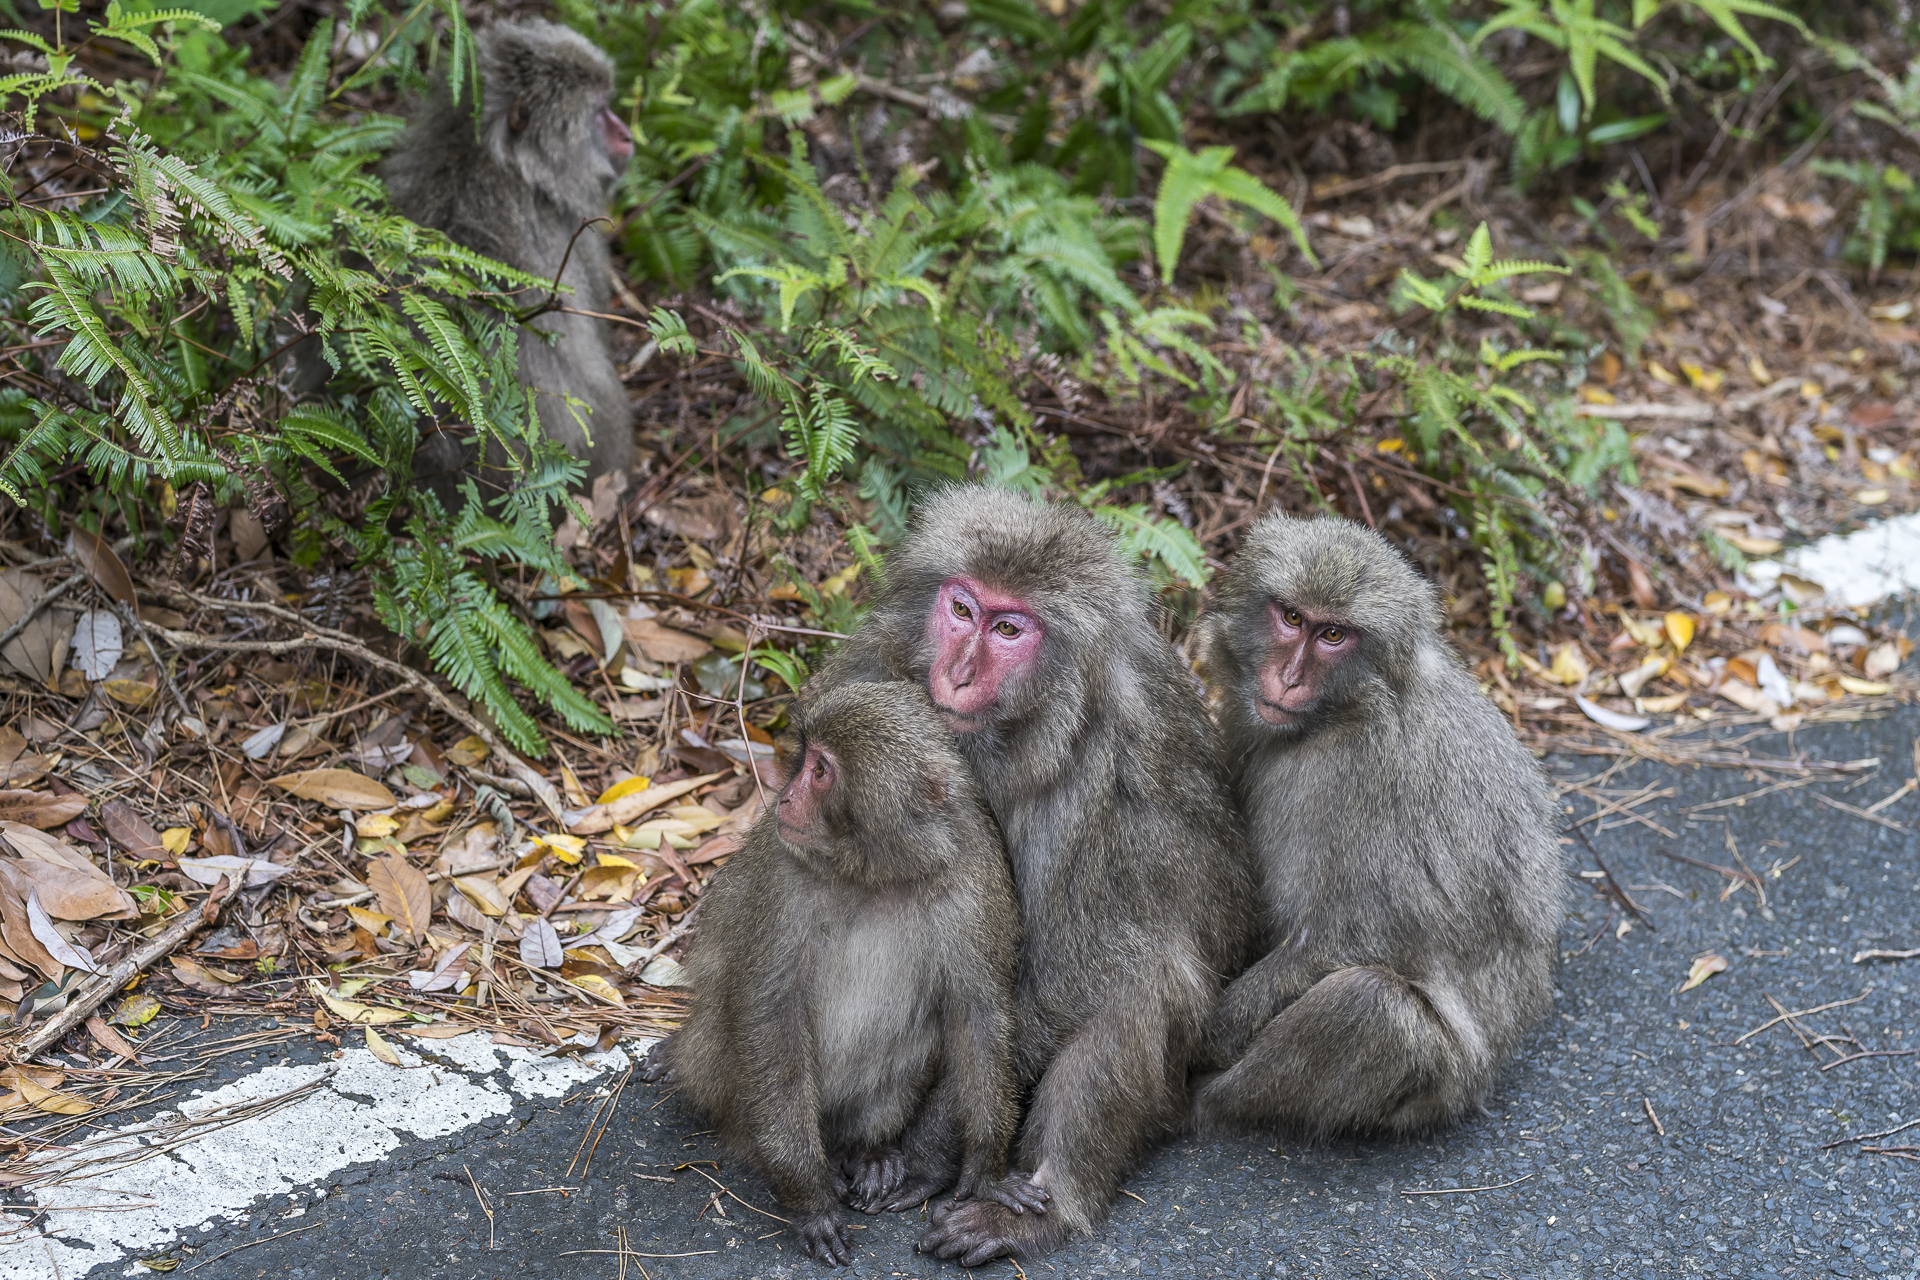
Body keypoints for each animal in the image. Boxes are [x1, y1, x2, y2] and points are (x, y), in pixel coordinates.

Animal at [639, 681, 1041, 1267]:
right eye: (806, 760)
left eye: (822, 771)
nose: (785, 798)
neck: (877, 871)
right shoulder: (782, 880)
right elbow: (772, 1012)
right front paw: (809, 1196)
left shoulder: (974, 875)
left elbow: (978, 1013)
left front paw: (986, 1171)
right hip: (716, 1074)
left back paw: (867, 1151)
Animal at [804, 485, 1261, 1265]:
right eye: (963, 610)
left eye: (1010, 628)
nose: (957, 673)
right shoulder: (870, 673)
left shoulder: (1092, 779)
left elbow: (1047, 982)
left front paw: (923, 1158)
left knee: (1143, 975)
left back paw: (1043, 1208)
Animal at [1186, 513, 1564, 1140]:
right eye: (1293, 618)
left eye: (1334, 636)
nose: (1288, 679)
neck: (1337, 717)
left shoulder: (1369, 773)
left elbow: (1354, 936)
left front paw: (1212, 1032)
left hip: (1439, 1091)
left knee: (1369, 1007)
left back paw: (1210, 1101)